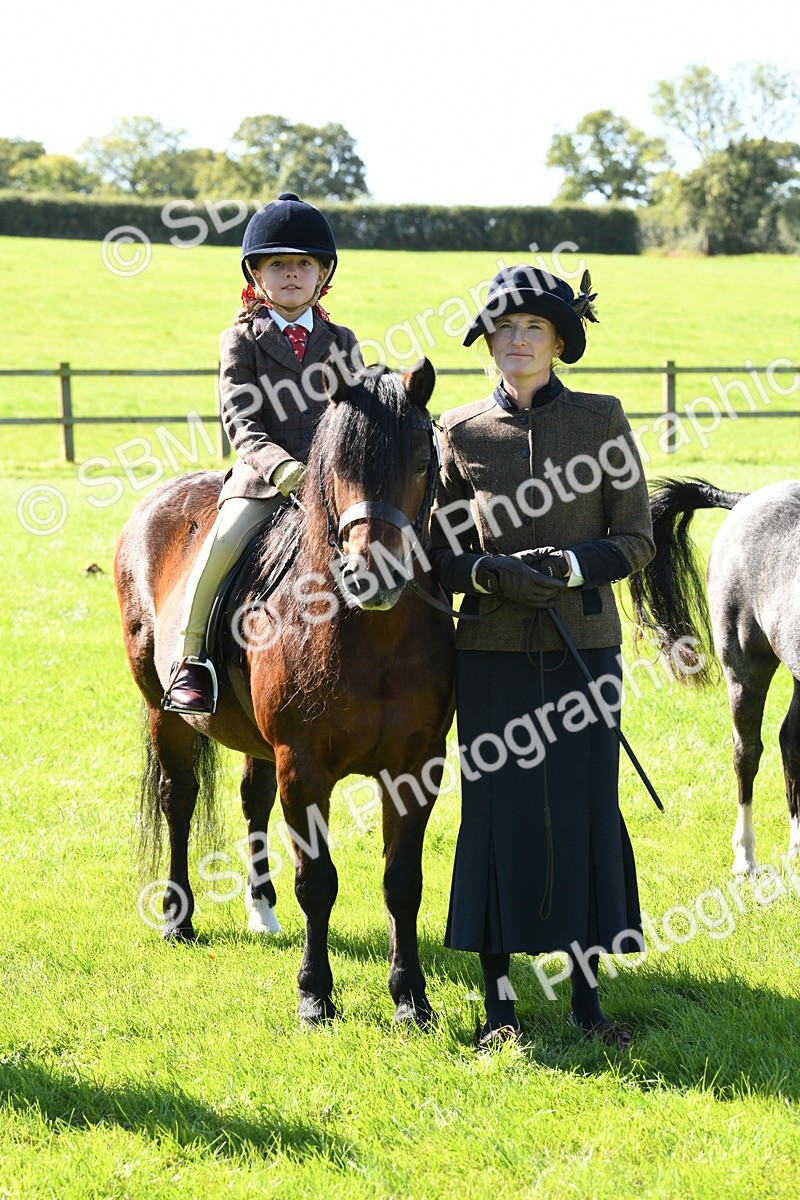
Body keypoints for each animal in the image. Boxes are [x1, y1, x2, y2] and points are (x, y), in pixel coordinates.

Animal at [114, 358, 455, 1027]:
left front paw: (411, 998)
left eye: (420, 461)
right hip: (164, 713)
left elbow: (402, 882)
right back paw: (178, 919)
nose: (372, 573)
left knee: (252, 799)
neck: (370, 633)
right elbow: (317, 882)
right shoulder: (305, 765)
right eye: (337, 466)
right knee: (179, 801)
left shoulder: (416, 766)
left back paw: (262, 909)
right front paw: (315, 995)